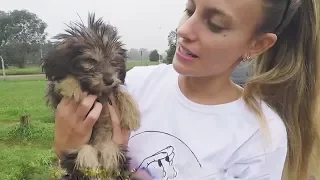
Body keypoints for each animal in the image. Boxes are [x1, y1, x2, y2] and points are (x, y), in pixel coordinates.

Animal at [41, 13, 140, 180]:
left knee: (109, 159)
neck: (94, 90)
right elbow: (60, 81)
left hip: (112, 149)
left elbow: (119, 90)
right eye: (90, 60)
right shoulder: (55, 96)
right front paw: (72, 86)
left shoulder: (110, 89)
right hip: (79, 151)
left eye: (113, 62)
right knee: (86, 158)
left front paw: (132, 113)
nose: (109, 79)